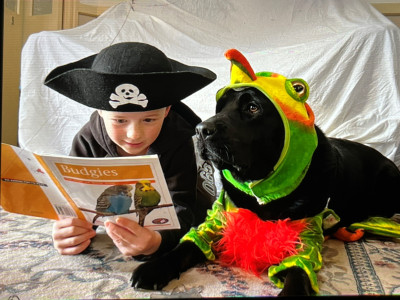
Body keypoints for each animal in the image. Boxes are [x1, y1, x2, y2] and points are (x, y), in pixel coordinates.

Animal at [132, 86, 400, 296]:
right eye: (220, 108)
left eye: (252, 108)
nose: (200, 130)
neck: (260, 190)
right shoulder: (220, 218)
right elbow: (188, 244)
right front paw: (154, 267)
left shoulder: (306, 234)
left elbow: (298, 269)